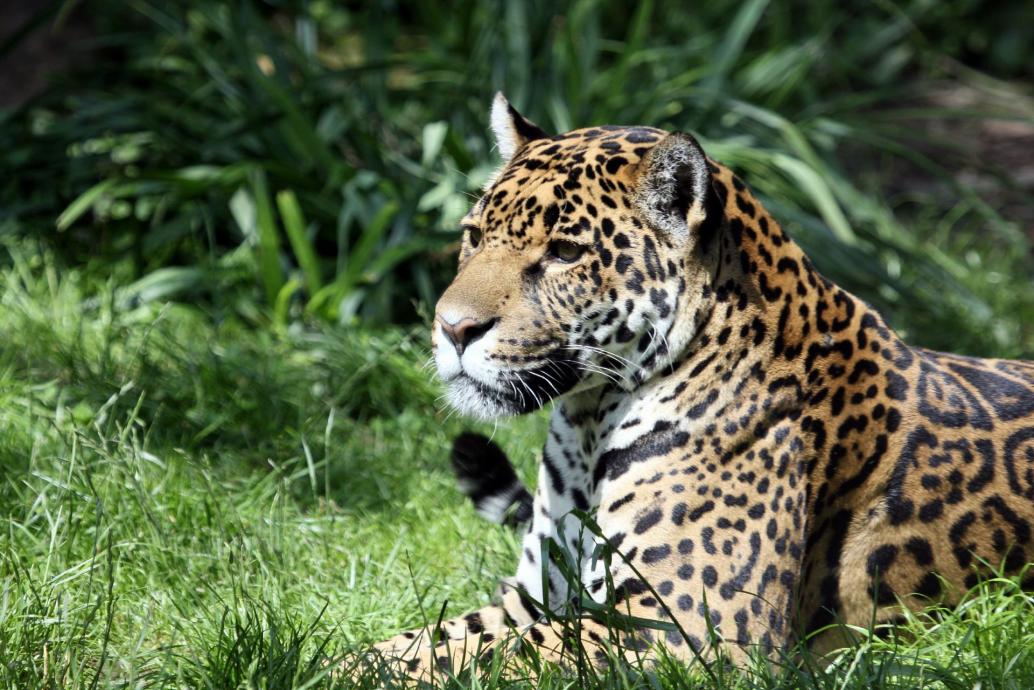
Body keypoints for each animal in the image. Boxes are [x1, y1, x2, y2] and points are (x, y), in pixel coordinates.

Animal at [365, 93, 1034, 684]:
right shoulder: (530, 599)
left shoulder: (679, 629)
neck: (588, 421)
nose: (452, 327)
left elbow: (477, 657)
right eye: (474, 235)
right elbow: (415, 642)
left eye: (565, 253)